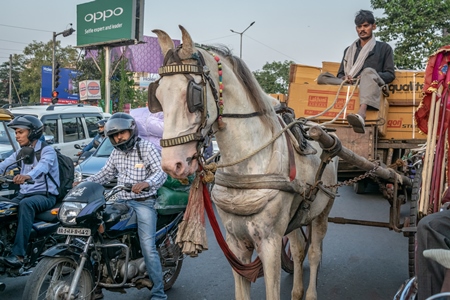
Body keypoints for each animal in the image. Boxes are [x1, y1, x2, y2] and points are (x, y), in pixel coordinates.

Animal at [151, 25, 338, 300]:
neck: (248, 164)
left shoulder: (270, 242)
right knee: (298, 248)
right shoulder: (235, 242)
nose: (172, 165)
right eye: (158, 96)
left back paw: (311, 292)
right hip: (296, 218)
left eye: (193, 96)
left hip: (323, 210)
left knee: (315, 252)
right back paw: (297, 291)